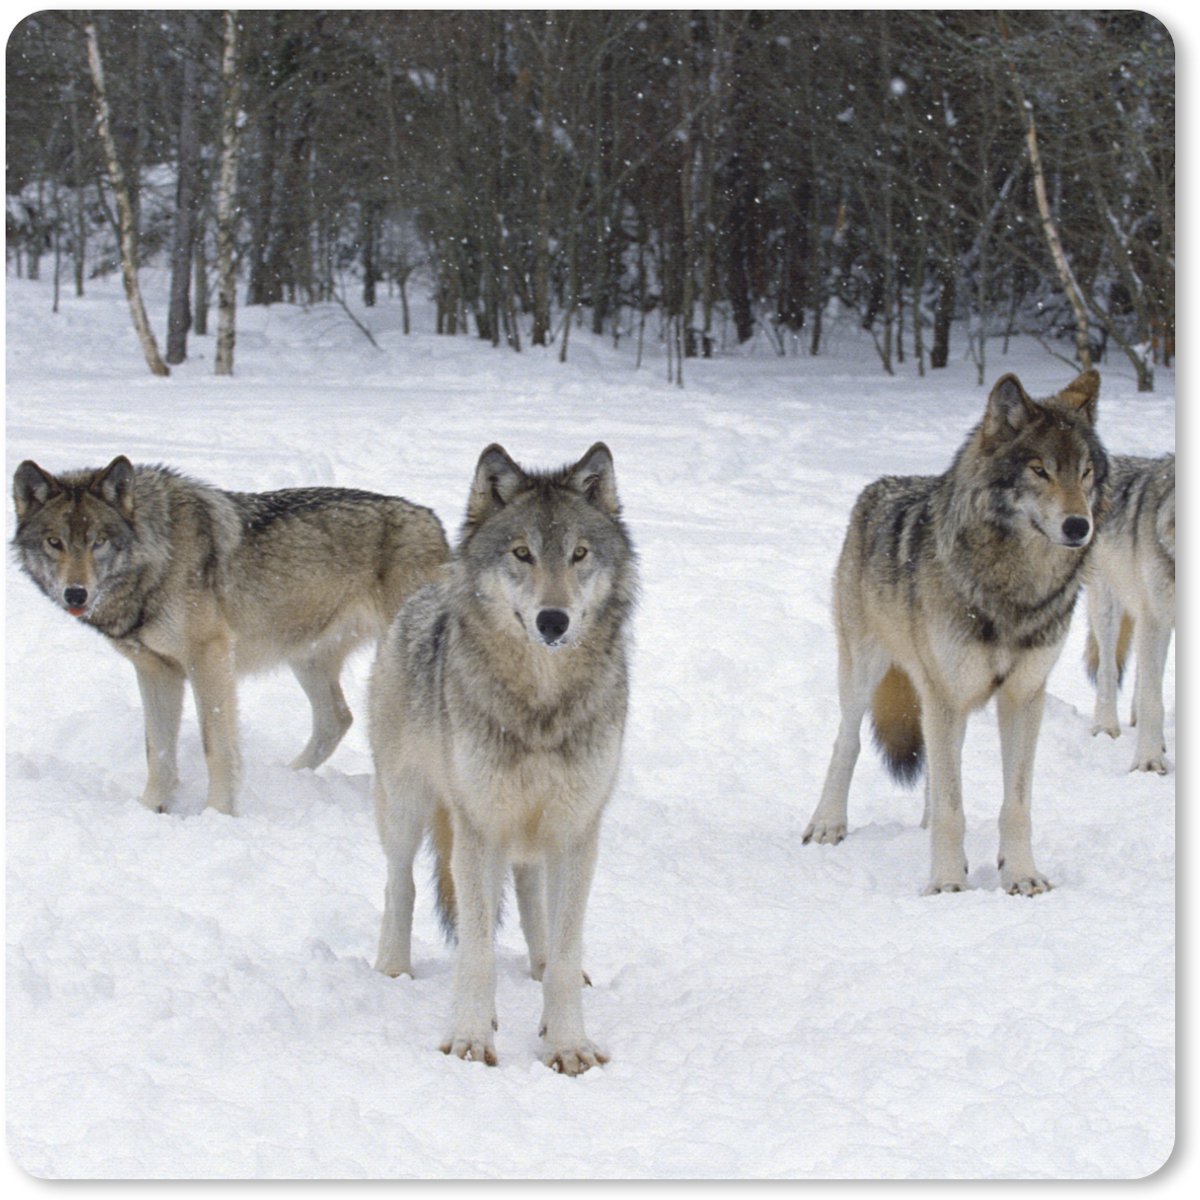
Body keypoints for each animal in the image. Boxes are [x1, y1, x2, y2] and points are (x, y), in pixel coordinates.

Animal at [12, 456, 450, 815]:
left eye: (98, 542)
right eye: (55, 543)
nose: (75, 593)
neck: (157, 558)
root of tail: (434, 522)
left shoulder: (209, 659)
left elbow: (216, 747)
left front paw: (218, 814)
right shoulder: (155, 670)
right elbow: (158, 750)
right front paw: (150, 809)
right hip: (306, 659)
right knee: (337, 719)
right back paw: (290, 777)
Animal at [369, 442, 637, 1075]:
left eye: (579, 554)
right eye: (522, 553)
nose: (553, 620)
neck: (540, 704)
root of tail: (426, 589)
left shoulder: (576, 829)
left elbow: (565, 949)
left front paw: (567, 1043)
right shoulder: (478, 828)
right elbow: (476, 950)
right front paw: (470, 1038)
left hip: (534, 832)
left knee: (534, 899)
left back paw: (537, 968)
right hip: (407, 806)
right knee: (400, 883)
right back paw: (393, 969)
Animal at [802, 370, 1108, 896]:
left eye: (1085, 472)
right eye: (1039, 470)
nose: (1078, 526)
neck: (1013, 590)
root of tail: (880, 486)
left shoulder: (1023, 695)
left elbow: (1015, 805)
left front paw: (1021, 875)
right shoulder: (946, 692)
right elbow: (952, 808)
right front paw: (946, 883)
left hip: (945, 698)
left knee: (937, 767)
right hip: (868, 671)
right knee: (848, 742)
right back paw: (827, 824)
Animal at [1084, 452, 1175, 773]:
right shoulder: (1155, 618)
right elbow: (1153, 701)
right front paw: (1148, 761)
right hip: (1108, 607)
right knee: (1109, 669)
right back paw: (1105, 727)